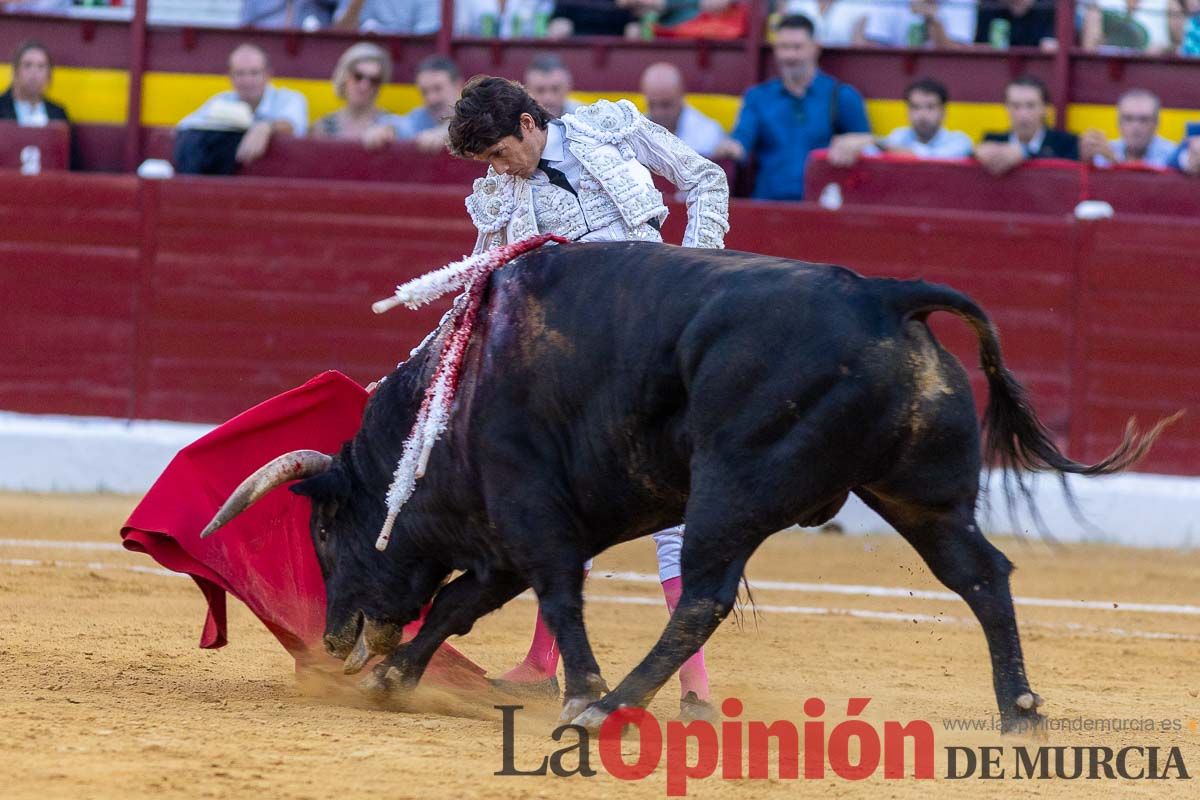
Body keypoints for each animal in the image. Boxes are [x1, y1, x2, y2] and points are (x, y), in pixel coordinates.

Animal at [201, 239, 1166, 734]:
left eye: (325, 533)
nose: (330, 641)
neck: (455, 397)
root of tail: (884, 297)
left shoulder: (531, 514)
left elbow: (554, 599)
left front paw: (579, 691)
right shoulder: (503, 537)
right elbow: (456, 606)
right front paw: (394, 678)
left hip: (732, 491)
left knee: (701, 595)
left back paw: (611, 709)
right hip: (918, 494)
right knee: (982, 576)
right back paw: (1020, 711)